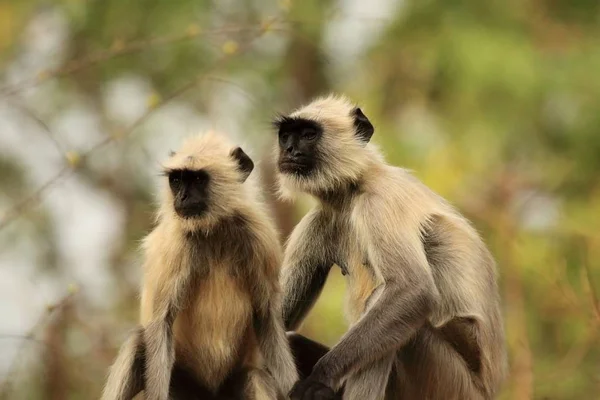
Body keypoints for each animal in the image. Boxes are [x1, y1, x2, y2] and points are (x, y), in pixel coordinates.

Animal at [103, 133, 300, 400]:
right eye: (177, 180)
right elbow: (161, 323)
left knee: (253, 377)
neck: (213, 229)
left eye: (197, 179)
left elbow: (266, 317)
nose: (182, 197)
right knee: (138, 342)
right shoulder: (177, 247)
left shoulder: (260, 238)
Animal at [274, 94, 508, 400]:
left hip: (449, 382)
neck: (352, 190)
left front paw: (319, 377)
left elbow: (414, 289)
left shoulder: (380, 201)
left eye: (308, 135)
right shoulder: (318, 221)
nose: (289, 150)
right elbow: (279, 320)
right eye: (286, 136)